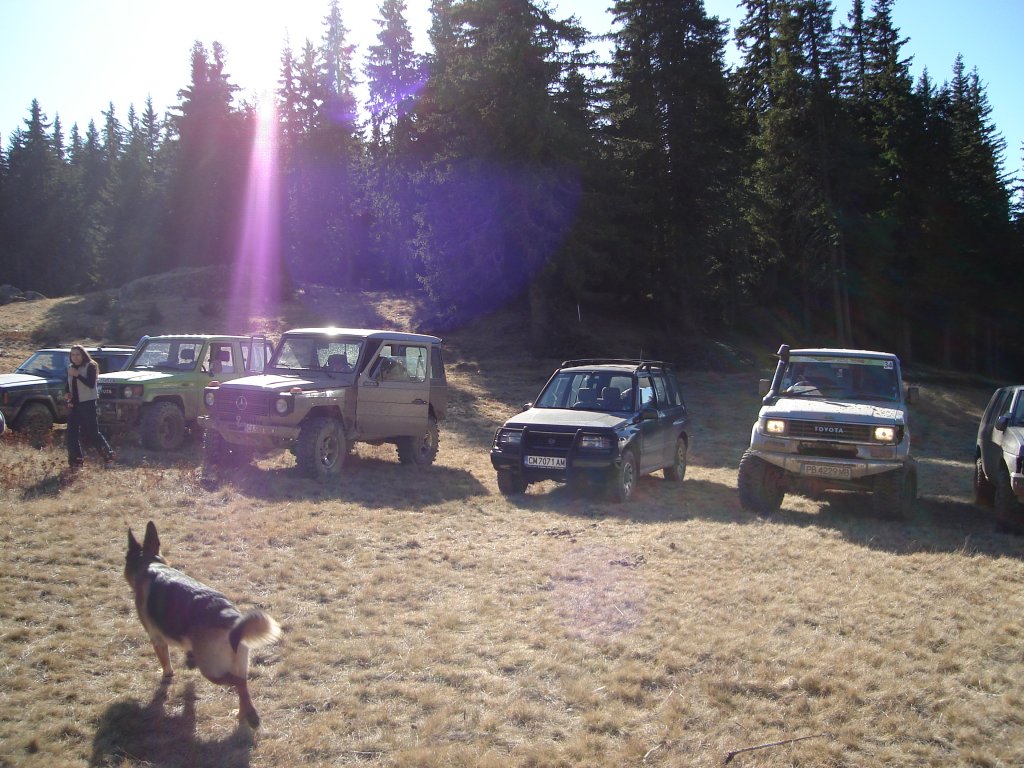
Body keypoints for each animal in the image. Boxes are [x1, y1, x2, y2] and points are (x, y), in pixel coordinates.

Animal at [124, 521, 281, 728]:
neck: (149, 564)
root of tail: (230, 617)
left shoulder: (157, 639)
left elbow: (165, 663)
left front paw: (167, 677)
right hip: (238, 663)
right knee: (244, 685)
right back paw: (243, 715)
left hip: (210, 670)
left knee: (238, 683)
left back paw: (248, 716)